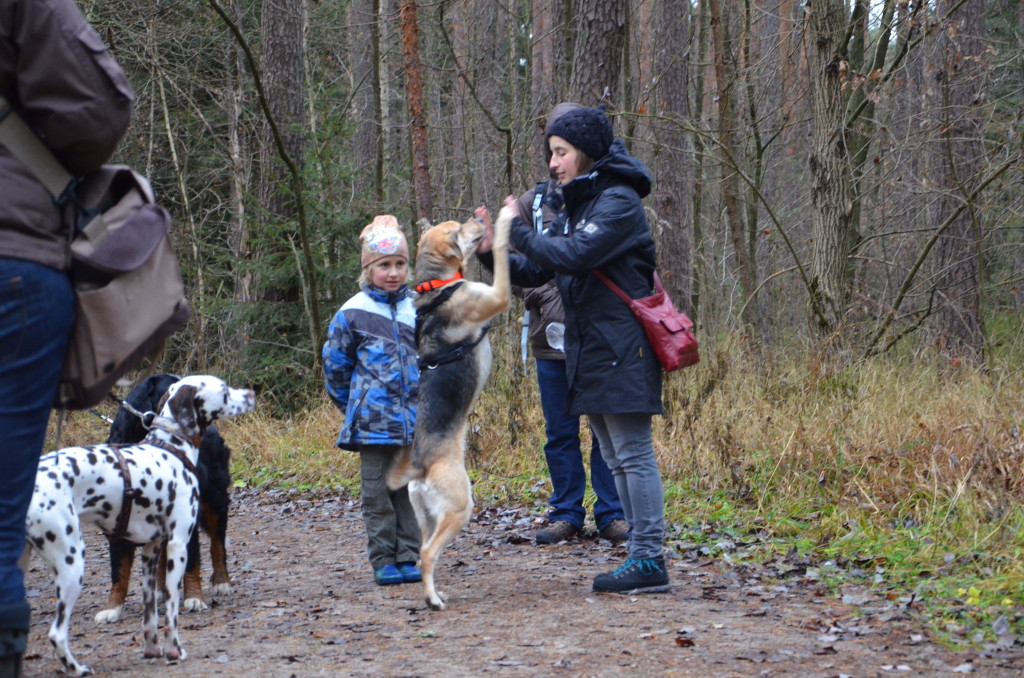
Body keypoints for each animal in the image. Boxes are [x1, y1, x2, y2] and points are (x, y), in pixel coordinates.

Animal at [95, 373, 234, 624]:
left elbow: (193, 562)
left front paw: (194, 598)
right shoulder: (118, 526)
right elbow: (118, 572)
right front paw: (112, 608)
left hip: (215, 501)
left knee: (217, 544)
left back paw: (221, 582)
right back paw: (160, 591)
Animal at [387, 206, 512, 610]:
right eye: (458, 229)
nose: (479, 219)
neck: (436, 287)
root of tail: (421, 467)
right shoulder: (498, 295)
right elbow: (503, 253)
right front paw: (506, 220)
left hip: (428, 515)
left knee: (422, 553)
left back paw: (434, 593)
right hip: (460, 508)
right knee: (427, 555)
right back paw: (434, 601)